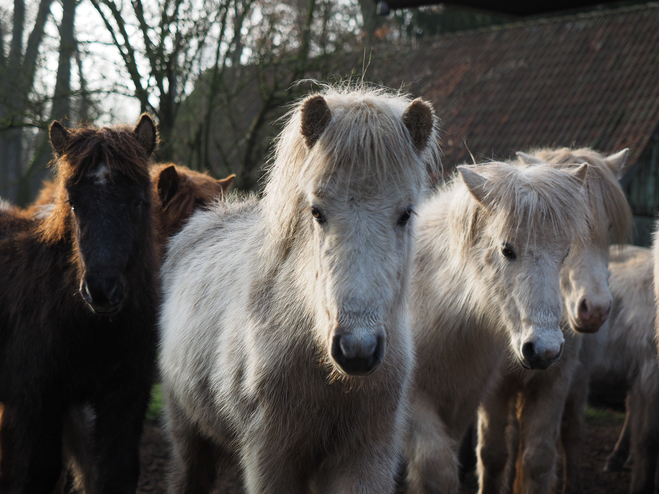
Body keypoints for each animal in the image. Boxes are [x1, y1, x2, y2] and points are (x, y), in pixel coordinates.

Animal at [159, 87, 444, 492]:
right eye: (316, 211)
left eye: (405, 213)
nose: (357, 350)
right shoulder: (270, 459)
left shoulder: (367, 457)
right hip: (186, 433)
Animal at [404, 160, 592, 492]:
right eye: (506, 249)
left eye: (565, 253)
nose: (544, 350)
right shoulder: (413, 402)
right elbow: (437, 469)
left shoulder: (462, 404)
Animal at [474, 148, 636, 494]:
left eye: (609, 226)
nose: (596, 309)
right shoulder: (495, 390)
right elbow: (493, 455)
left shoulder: (555, 382)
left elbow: (539, 459)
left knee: (572, 432)